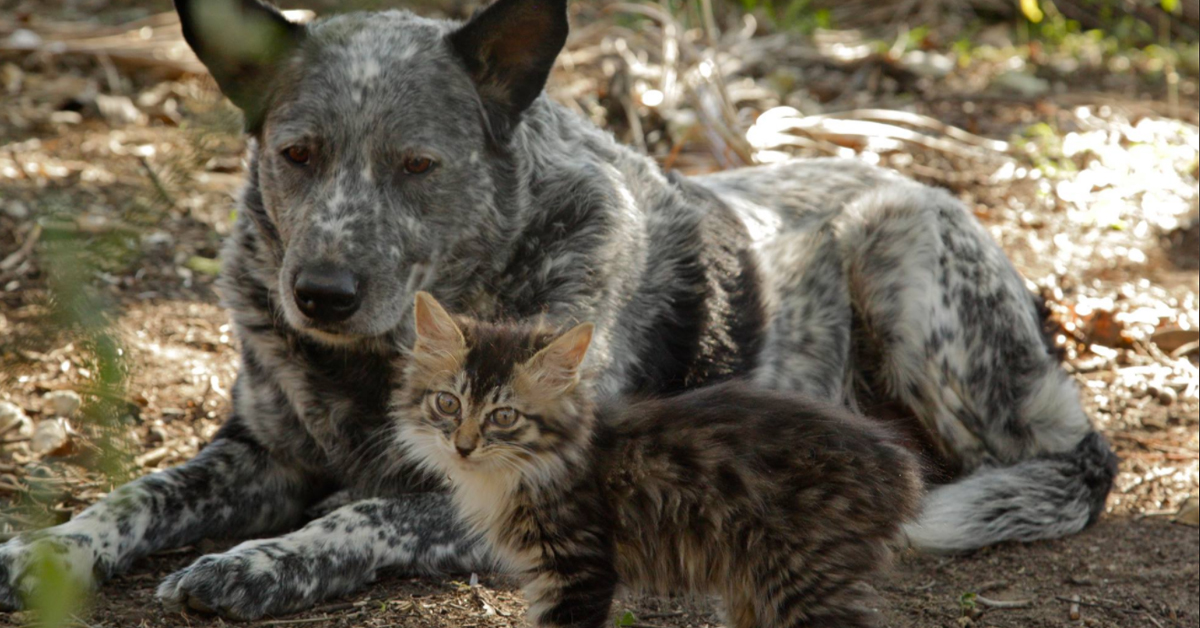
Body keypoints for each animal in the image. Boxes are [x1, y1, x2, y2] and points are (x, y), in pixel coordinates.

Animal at [388, 295, 921, 628]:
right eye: (449, 404)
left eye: (503, 416)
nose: (463, 446)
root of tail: (900, 467)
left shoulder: (577, 566)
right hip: (754, 585)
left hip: (806, 577)